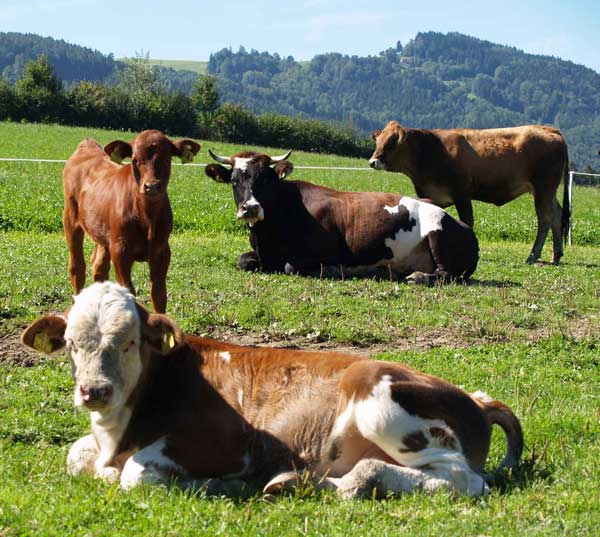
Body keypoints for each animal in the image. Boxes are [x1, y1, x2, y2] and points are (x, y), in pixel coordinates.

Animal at [21, 282, 524, 496]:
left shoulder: (228, 443)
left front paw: (212, 483)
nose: (94, 391)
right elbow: (75, 456)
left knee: (462, 479)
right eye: (71, 345)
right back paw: (295, 481)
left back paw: (353, 483)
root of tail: (476, 399)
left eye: (128, 342)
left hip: (379, 401)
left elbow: (132, 474)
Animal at [62, 130, 200, 312]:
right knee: (77, 267)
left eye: (167, 157)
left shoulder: (162, 250)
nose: (151, 186)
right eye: (135, 159)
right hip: (71, 220)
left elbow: (159, 294)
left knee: (99, 267)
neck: (147, 217)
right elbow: (130, 293)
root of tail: (87, 146)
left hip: (103, 234)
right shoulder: (120, 251)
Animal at [205, 151, 478, 284]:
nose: (250, 208)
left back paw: (417, 276)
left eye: (266, 179)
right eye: (234, 180)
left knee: (445, 274)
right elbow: (243, 260)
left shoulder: (326, 253)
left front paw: (332, 271)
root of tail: (465, 226)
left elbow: (291, 266)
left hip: (437, 235)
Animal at [370, 122, 572, 264]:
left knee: (545, 218)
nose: (372, 162)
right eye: (378, 142)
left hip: (544, 188)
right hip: (547, 191)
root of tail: (550, 130)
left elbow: (467, 220)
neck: (432, 151)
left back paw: (533, 255)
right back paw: (556, 255)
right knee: (557, 215)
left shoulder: (462, 194)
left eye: (391, 144)